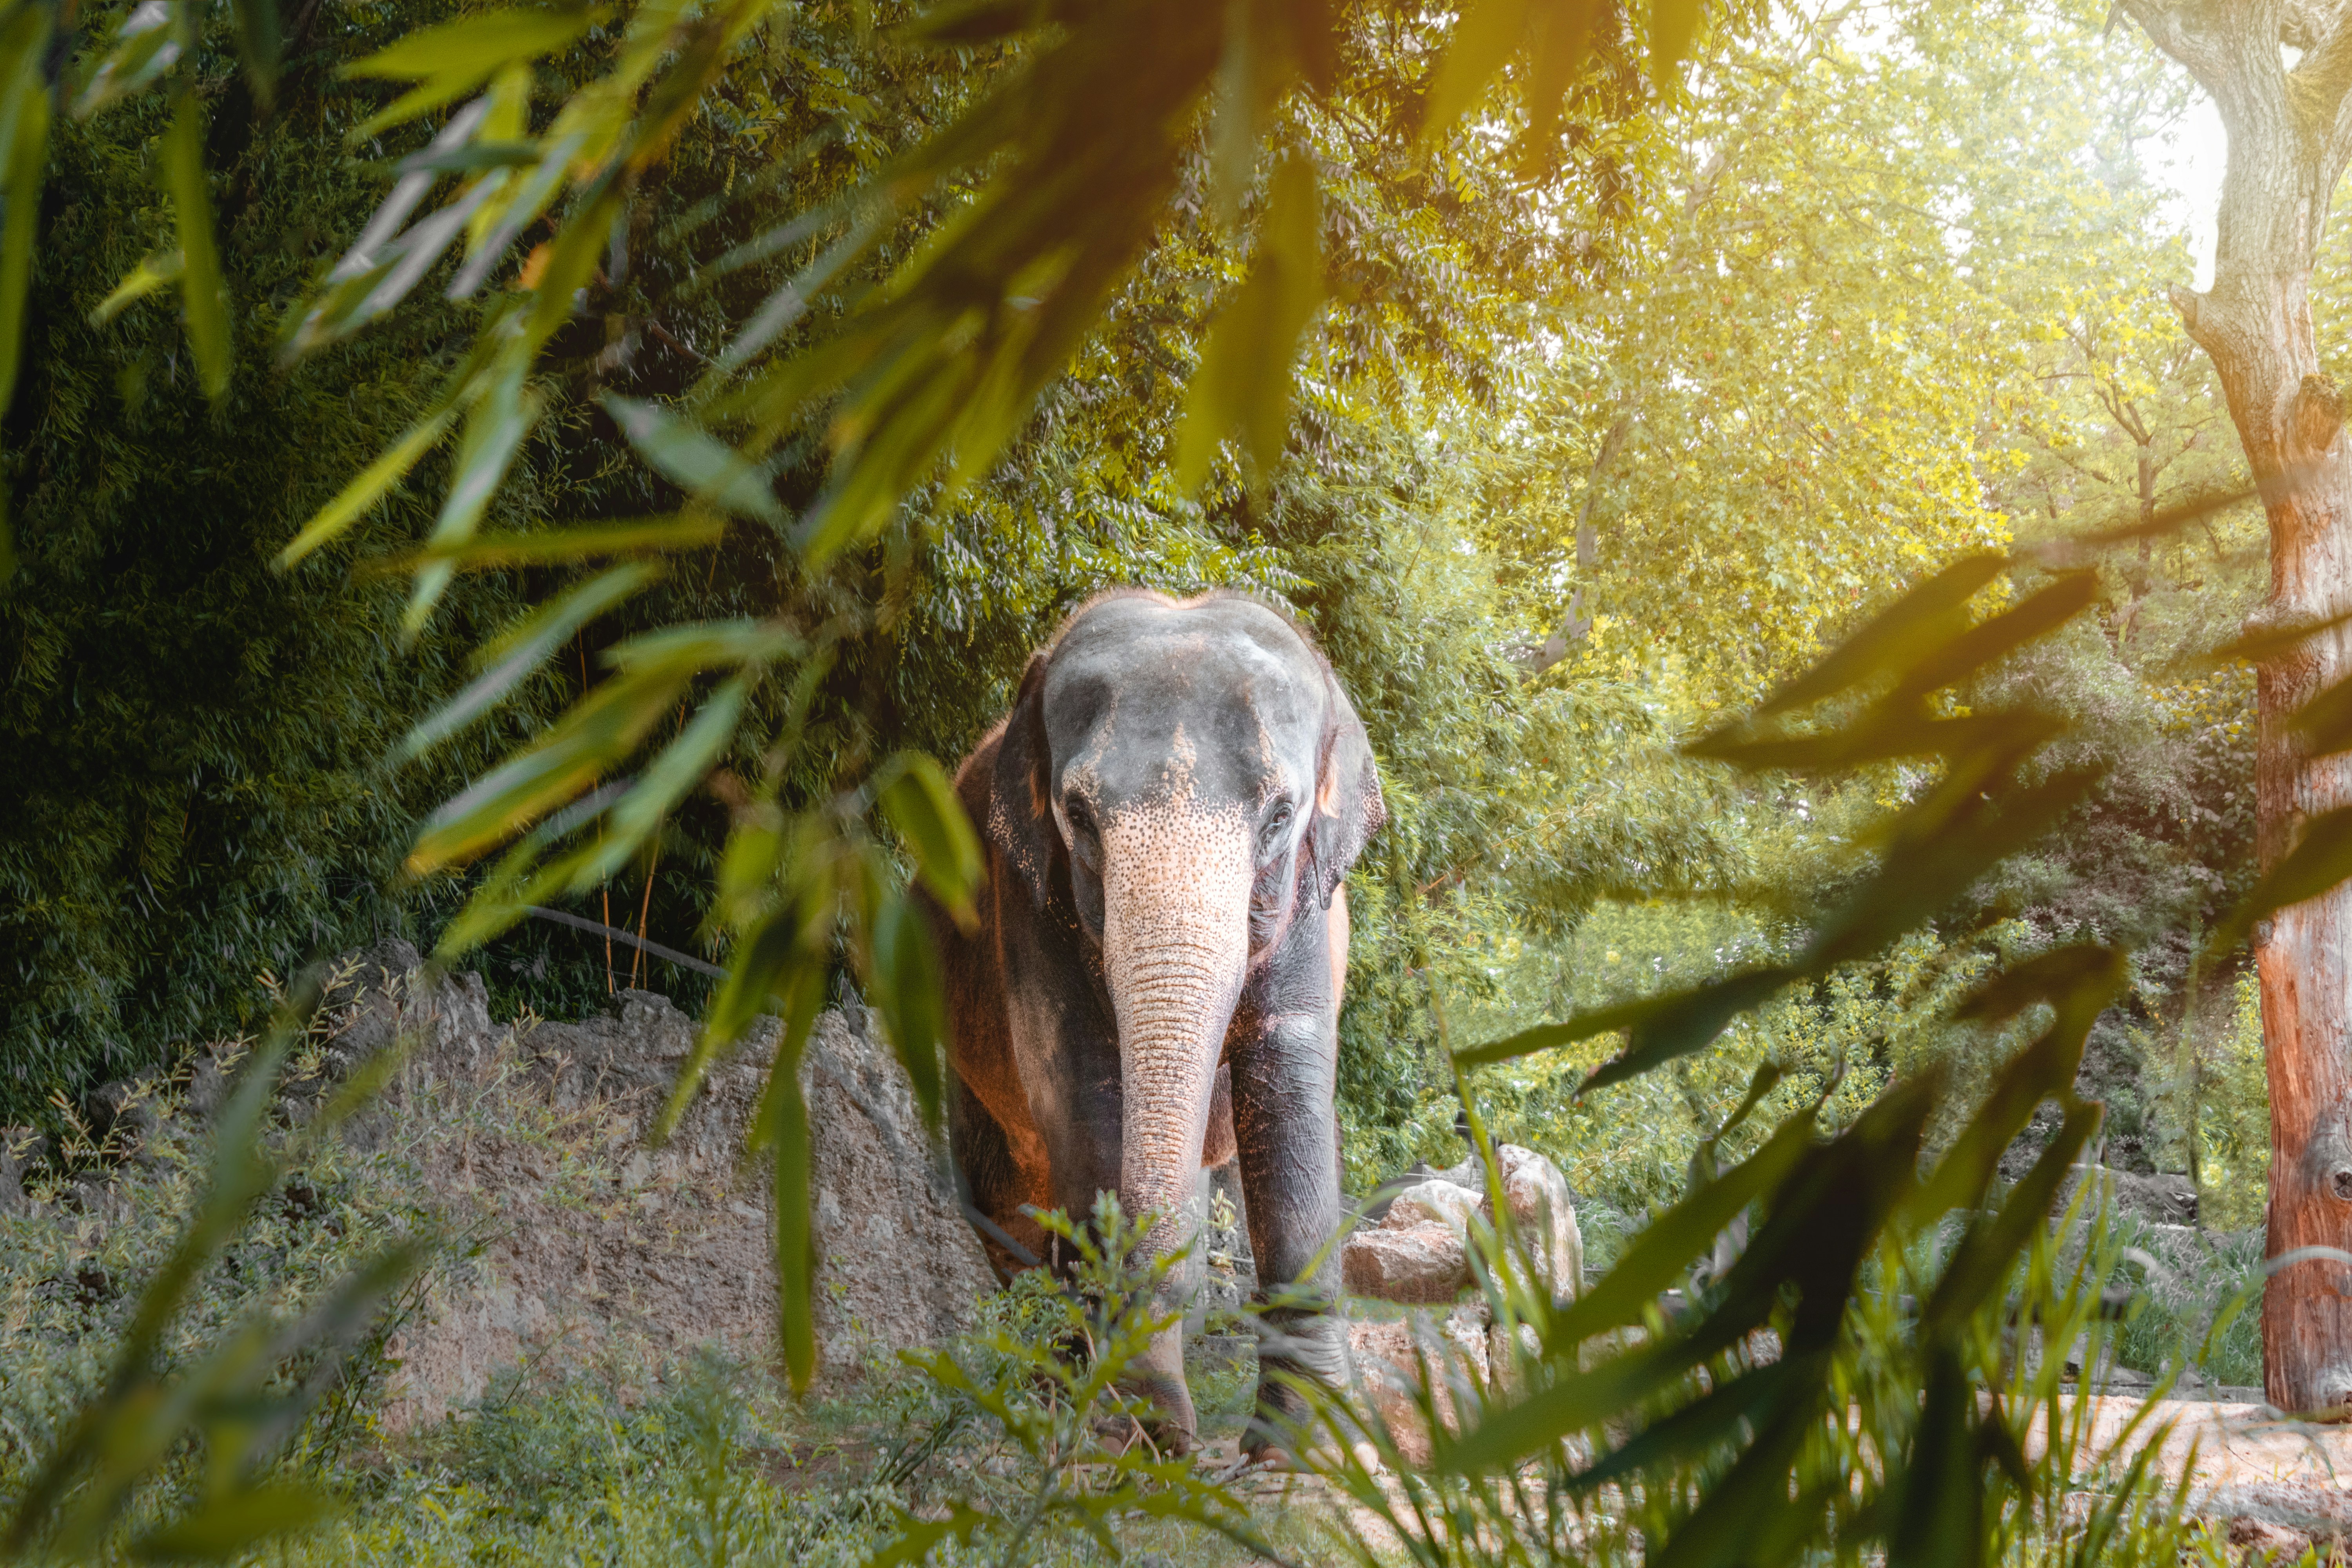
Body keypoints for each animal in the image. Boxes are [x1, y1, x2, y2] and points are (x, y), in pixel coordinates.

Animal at [930, 588, 1385, 1455]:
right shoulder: (1029, 899)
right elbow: (1082, 1081)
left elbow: (1289, 1080)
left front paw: (1305, 1447)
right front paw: (1130, 1431)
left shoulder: (1305, 907)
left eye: (1281, 815)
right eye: (1077, 814)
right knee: (1002, 1208)